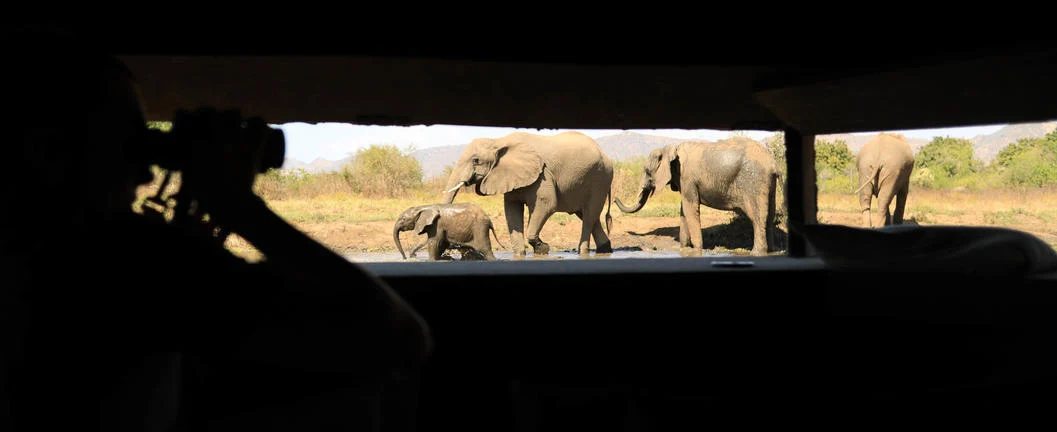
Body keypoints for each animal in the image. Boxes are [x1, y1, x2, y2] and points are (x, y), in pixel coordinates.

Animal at [440, 131, 614, 257]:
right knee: (587, 215)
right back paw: (605, 250)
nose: (451, 248)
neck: (498, 141)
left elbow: (547, 204)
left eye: (476, 160)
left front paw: (542, 249)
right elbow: (511, 210)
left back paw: (583, 252)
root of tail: (605, 154)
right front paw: (519, 255)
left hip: (600, 179)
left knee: (589, 215)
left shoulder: (542, 174)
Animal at [615, 137, 780, 256]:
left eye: (647, 171)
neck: (670, 148)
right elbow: (684, 212)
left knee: (757, 216)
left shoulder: (687, 178)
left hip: (754, 181)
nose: (615, 198)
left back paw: (756, 253)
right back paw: (771, 251)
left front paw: (697, 250)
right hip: (769, 183)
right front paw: (682, 249)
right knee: (769, 215)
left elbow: (690, 209)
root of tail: (773, 163)